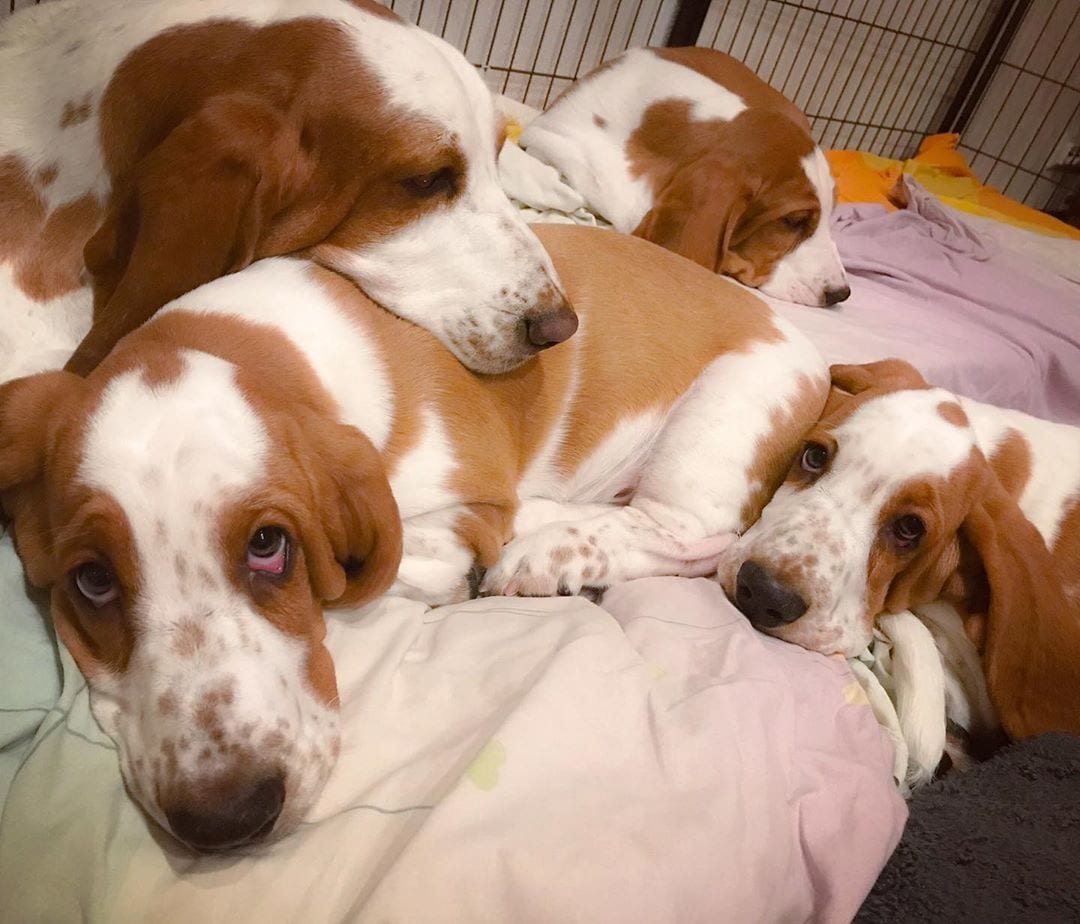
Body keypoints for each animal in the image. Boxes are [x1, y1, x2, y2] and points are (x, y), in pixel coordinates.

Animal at [0, 222, 825, 850]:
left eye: (270, 547)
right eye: (93, 582)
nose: (225, 818)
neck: (263, 353)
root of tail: (810, 346)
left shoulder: (459, 507)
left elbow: (377, 567)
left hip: (717, 426)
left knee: (696, 538)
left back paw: (545, 553)